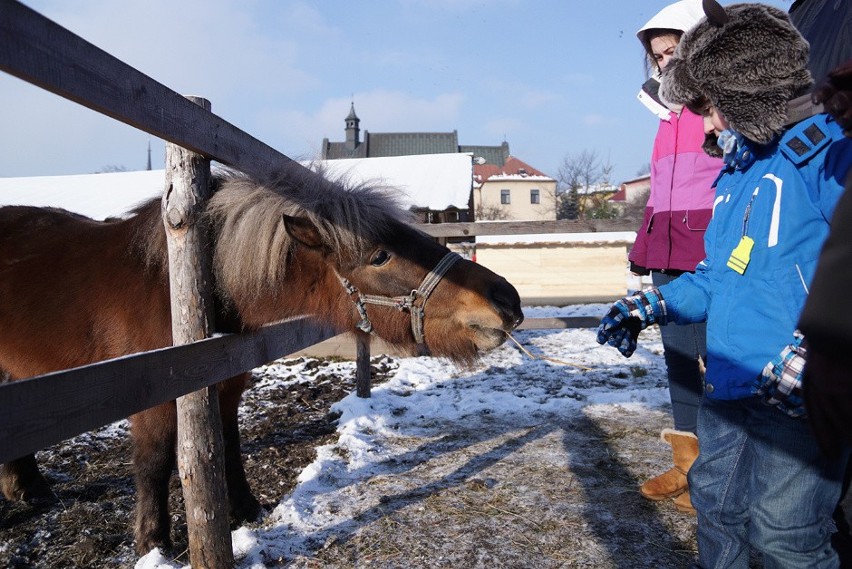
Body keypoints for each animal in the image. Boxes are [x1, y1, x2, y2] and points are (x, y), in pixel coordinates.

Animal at [0, 162, 524, 552]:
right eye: (379, 256)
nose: (507, 299)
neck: (182, 285)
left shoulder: (227, 385)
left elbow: (230, 446)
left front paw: (247, 509)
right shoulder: (152, 395)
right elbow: (153, 463)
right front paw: (154, 543)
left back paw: (27, 486)